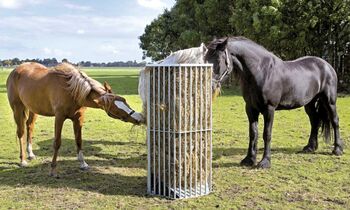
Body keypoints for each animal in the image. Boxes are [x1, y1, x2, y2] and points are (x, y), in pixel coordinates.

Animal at [6, 62, 144, 176]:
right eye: (115, 109)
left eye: (124, 100)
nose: (139, 118)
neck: (71, 90)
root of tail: (15, 70)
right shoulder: (59, 117)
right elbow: (57, 143)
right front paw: (53, 169)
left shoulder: (78, 119)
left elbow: (79, 141)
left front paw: (83, 164)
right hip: (17, 108)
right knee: (21, 132)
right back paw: (23, 160)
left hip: (33, 109)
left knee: (30, 126)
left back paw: (30, 154)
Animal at [204, 35, 344, 167]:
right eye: (205, 59)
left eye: (218, 60)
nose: (209, 86)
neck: (261, 72)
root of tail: (326, 65)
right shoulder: (250, 108)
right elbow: (253, 133)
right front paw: (249, 159)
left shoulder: (269, 109)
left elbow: (267, 134)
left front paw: (265, 162)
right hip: (309, 103)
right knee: (315, 121)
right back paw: (310, 147)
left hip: (329, 101)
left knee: (335, 121)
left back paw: (337, 149)